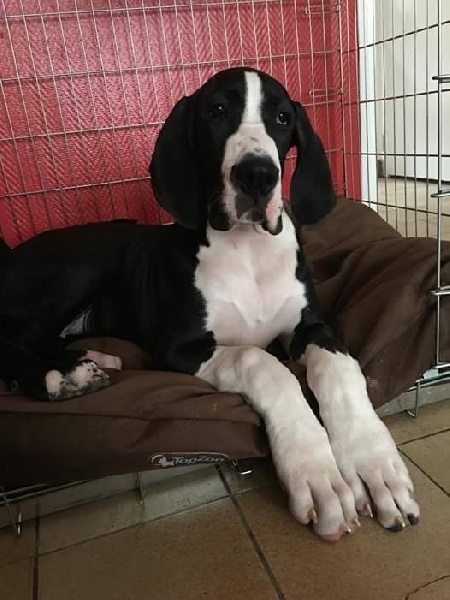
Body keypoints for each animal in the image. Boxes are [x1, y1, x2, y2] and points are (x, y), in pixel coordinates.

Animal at [0, 67, 419, 541]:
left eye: (282, 118)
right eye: (217, 111)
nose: (258, 175)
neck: (249, 249)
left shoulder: (312, 326)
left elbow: (338, 368)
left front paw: (373, 464)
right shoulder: (178, 347)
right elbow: (260, 361)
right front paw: (316, 472)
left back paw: (89, 359)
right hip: (82, 264)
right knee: (14, 337)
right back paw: (57, 375)